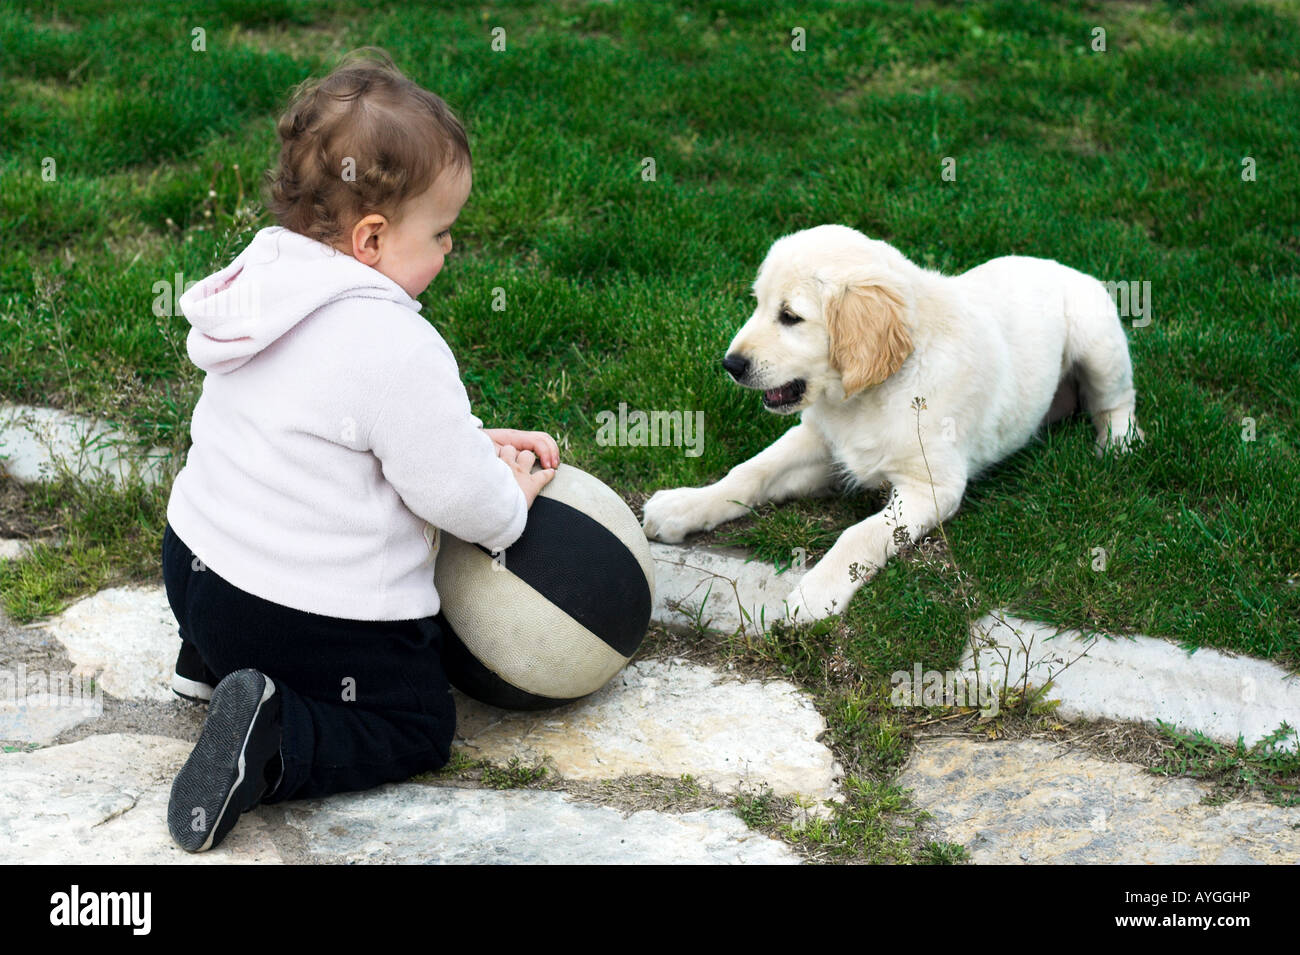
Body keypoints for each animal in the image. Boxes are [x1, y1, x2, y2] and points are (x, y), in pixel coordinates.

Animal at [644, 227, 1144, 623]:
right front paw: (683, 505)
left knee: (1118, 401)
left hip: (1097, 341)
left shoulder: (932, 487)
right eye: (758, 305)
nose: (730, 365)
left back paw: (1116, 445)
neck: (873, 392)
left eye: (790, 316)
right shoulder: (821, 441)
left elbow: (858, 535)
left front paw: (816, 594)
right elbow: (751, 471)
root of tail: (1060, 264)